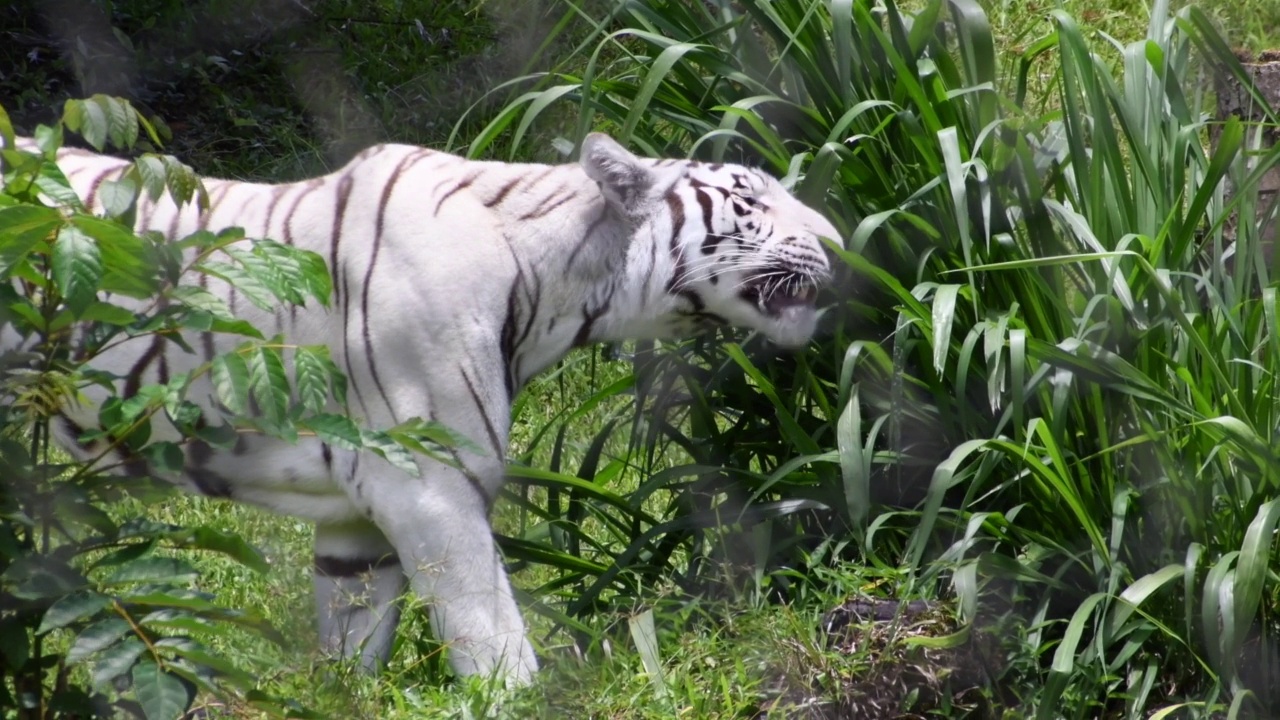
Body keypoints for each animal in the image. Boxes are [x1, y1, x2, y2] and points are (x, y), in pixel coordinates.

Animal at [0, 131, 844, 681]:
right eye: (745, 199)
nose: (840, 242)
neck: (559, 287)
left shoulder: (356, 522)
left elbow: (353, 657)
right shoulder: (430, 486)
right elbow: (494, 643)